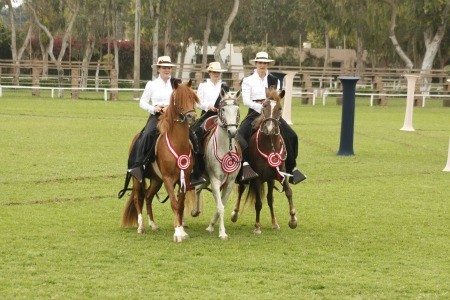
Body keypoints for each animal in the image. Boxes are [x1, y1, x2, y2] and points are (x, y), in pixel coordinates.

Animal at [122, 79, 201, 241]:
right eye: (178, 98)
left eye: (192, 97)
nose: (191, 117)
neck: (177, 144)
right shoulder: (168, 179)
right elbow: (174, 204)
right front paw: (177, 233)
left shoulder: (184, 178)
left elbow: (180, 205)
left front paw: (182, 230)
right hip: (137, 178)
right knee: (137, 198)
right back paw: (141, 227)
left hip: (156, 180)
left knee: (148, 196)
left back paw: (153, 225)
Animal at [230, 88, 298, 234]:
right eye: (264, 106)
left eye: (279, 108)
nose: (270, 128)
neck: (269, 146)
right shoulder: (256, 178)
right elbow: (258, 203)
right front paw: (257, 226)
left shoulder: (280, 173)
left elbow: (288, 192)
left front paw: (293, 220)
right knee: (242, 189)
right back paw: (235, 214)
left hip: (270, 179)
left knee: (270, 199)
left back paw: (274, 223)